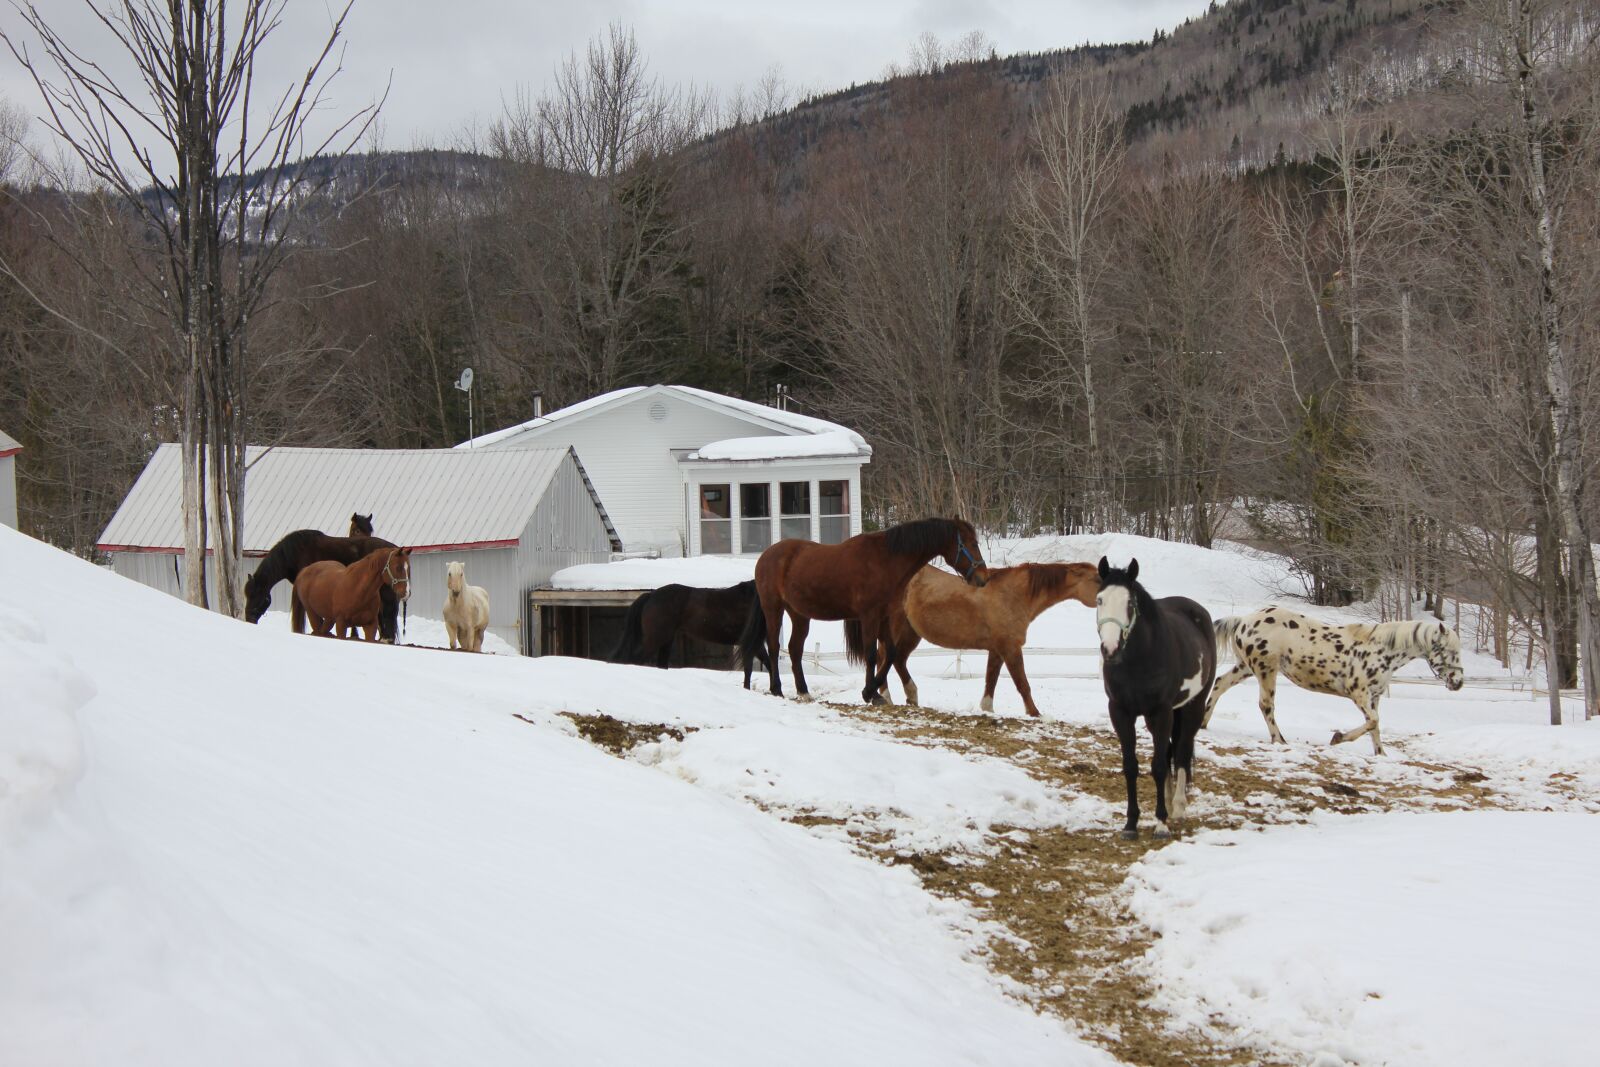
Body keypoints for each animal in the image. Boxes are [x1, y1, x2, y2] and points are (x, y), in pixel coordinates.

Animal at [737, 517, 989, 706]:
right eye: (971, 543)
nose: (982, 578)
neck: (885, 560)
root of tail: (766, 556)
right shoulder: (869, 617)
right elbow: (871, 654)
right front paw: (871, 693)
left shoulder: (885, 617)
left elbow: (891, 654)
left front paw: (874, 691)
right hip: (774, 609)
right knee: (774, 646)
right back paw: (777, 689)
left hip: (799, 614)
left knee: (794, 649)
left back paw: (804, 691)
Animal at [847, 562, 1100, 716]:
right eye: (1098, 579)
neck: (1015, 594)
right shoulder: (1011, 648)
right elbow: (1023, 684)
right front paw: (1035, 714)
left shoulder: (997, 649)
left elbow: (991, 679)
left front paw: (987, 709)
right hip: (898, 629)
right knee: (887, 658)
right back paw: (890, 696)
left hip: (911, 632)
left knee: (896, 660)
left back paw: (905, 697)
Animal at [1096, 557, 1216, 840]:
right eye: (1100, 599)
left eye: (1129, 603)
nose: (1110, 649)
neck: (1138, 660)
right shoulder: (1120, 712)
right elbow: (1131, 766)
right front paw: (1131, 824)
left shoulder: (1161, 712)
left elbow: (1159, 766)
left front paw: (1161, 824)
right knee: (1172, 750)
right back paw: (1171, 803)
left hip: (1192, 707)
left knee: (1181, 752)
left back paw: (1178, 808)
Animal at [1202, 607, 1464, 755]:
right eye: (1450, 652)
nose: (1458, 682)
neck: (1380, 651)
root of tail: (1243, 621)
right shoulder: (1359, 694)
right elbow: (1373, 722)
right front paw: (1338, 738)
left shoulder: (1375, 697)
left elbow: (1375, 725)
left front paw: (1381, 754)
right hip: (1266, 669)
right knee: (1266, 704)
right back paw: (1279, 739)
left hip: (1247, 667)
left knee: (1219, 684)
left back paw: (1204, 723)